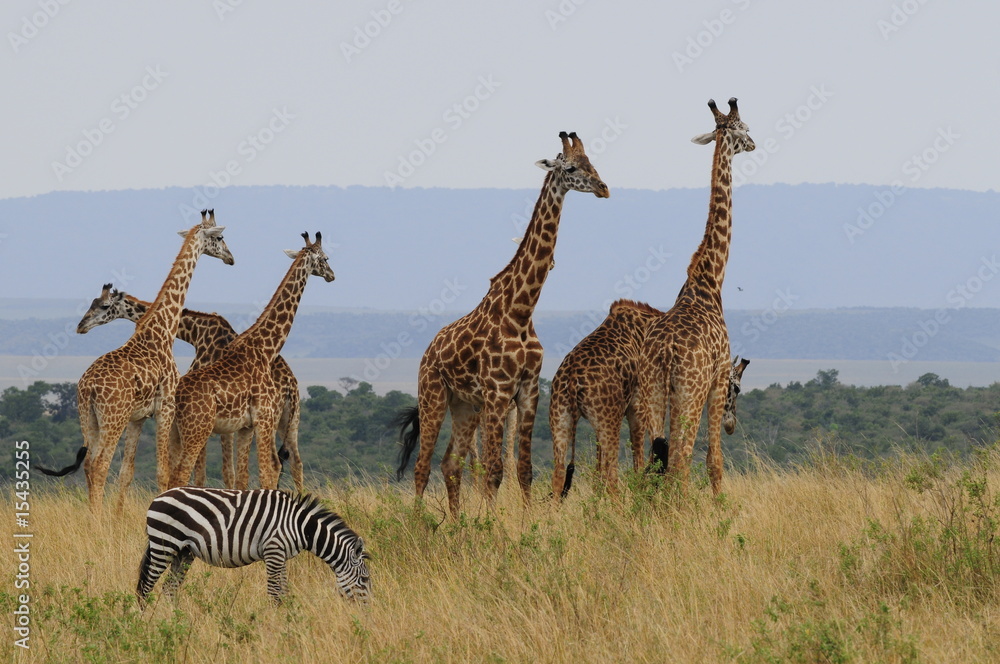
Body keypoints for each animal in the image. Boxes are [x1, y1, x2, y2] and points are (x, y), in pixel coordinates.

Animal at [42, 211, 234, 511]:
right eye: (220, 237)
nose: (230, 257)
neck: (163, 328)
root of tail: (88, 388)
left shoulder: (138, 417)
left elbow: (127, 472)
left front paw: (120, 518)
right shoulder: (165, 406)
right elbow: (163, 472)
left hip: (88, 418)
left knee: (89, 466)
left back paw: (92, 517)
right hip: (113, 418)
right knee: (99, 466)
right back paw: (97, 521)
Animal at [74, 285, 304, 491]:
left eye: (104, 306)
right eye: (92, 303)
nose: (81, 326)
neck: (196, 333)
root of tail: (290, 385)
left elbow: (216, 471)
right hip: (289, 420)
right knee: (295, 461)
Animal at [168, 232, 334, 491]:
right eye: (325, 258)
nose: (332, 275)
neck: (266, 348)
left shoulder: (246, 426)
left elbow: (246, 475)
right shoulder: (264, 417)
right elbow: (269, 471)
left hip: (175, 432)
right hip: (198, 430)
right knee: (181, 475)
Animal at [395, 131, 609, 517]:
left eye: (592, 162)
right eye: (571, 167)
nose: (603, 188)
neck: (520, 312)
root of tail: (428, 352)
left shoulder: (528, 390)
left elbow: (523, 469)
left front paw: (524, 522)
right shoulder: (497, 391)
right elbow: (494, 470)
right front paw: (492, 524)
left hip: (465, 405)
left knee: (450, 463)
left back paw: (456, 522)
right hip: (433, 395)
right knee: (422, 466)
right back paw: (419, 523)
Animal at [636, 97, 755, 496]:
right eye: (744, 128)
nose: (754, 144)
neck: (708, 280)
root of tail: (666, 353)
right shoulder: (718, 381)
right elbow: (714, 461)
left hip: (653, 394)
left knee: (656, 461)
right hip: (689, 393)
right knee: (680, 463)